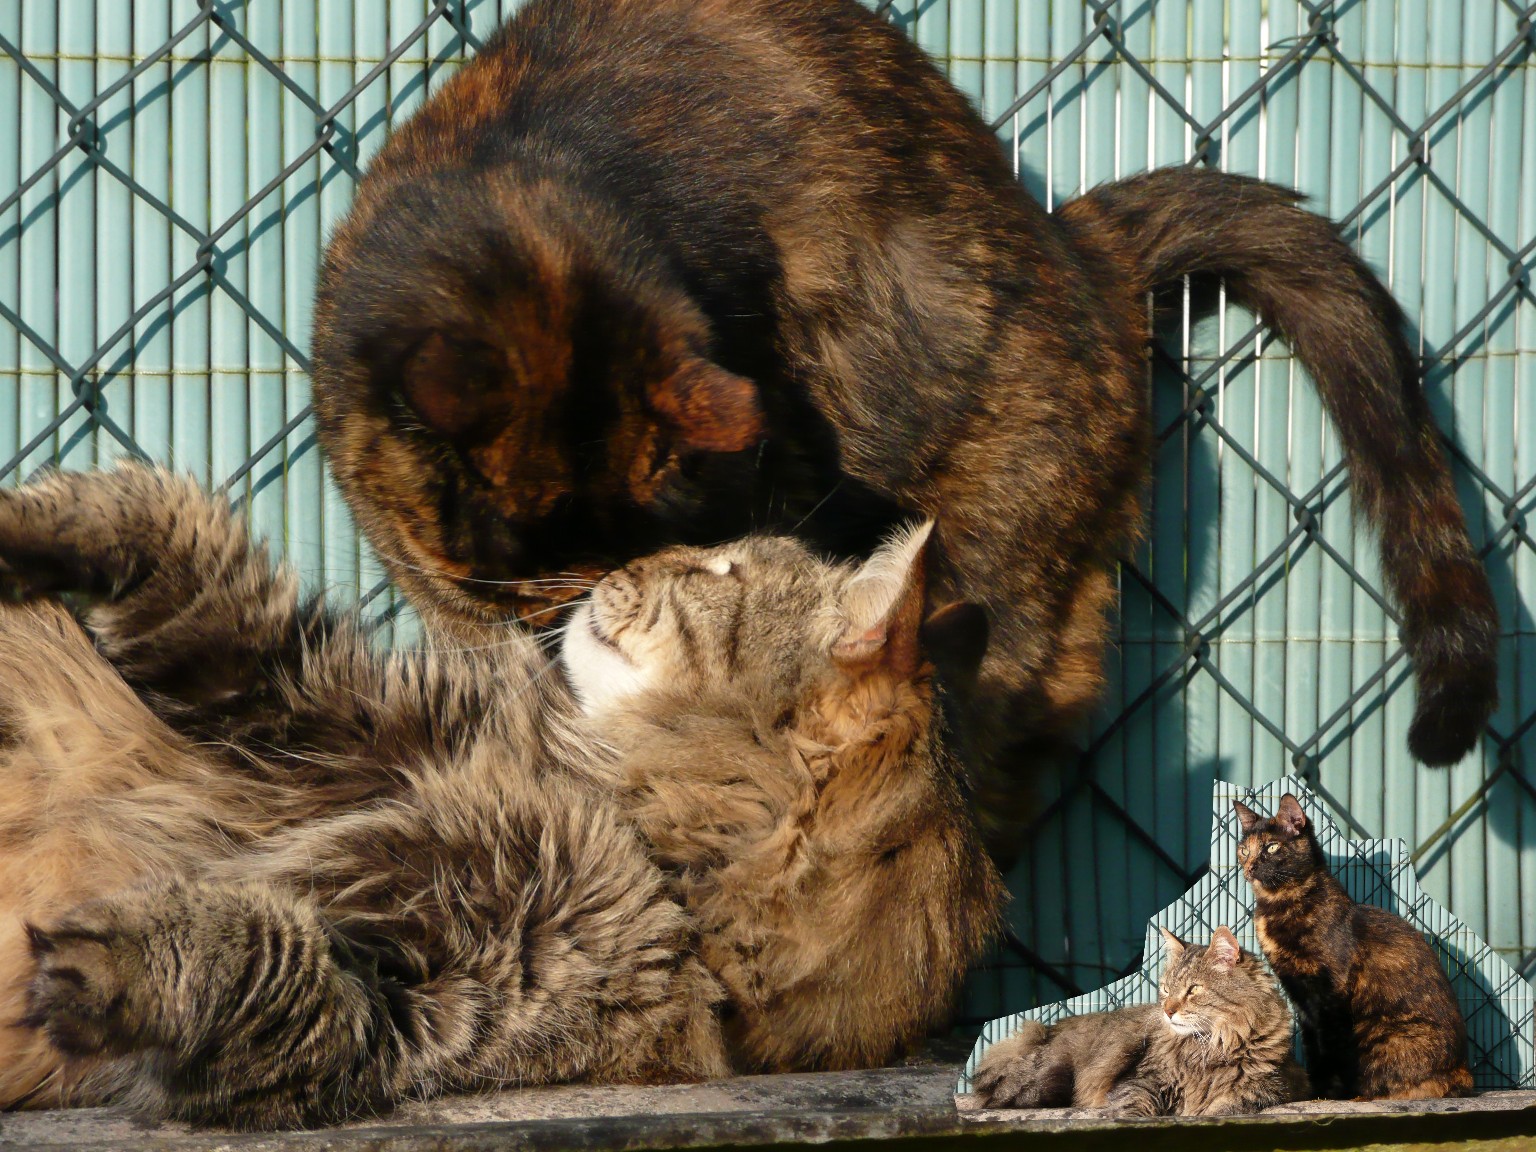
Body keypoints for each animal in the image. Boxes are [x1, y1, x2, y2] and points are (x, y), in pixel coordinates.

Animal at [0, 463, 1001, 1130]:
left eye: (721, 574)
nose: (621, 561)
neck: (612, 815)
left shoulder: (406, 1010)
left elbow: (257, 951)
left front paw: (111, 963)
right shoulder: (313, 705)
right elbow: (172, 543)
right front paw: (28, 522)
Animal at [308, 0, 1499, 860]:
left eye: (667, 529)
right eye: (549, 540)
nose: (608, 594)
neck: (519, 194)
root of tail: (1087, 257)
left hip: (991, 551)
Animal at [970, 927, 1308, 1118]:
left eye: (1193, 990)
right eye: (1166, 990)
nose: (1168, 1011)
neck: (1210, 1046)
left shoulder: (1268, 1088)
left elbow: (1224, 1108)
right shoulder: (1141, 1081)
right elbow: (1133, 1108)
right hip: (1049, 1080)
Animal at [1228, 798, 1468, 1105]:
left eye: (1271, 847)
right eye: (1244, 850)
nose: (1249, 866)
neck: (1279, 903)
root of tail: (1463, 1073)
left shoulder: (1331, 994)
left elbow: (1330, 1048)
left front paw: (1328, 1095)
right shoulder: (1302, 999)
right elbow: (1312, 1047)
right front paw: (1315, 1092)